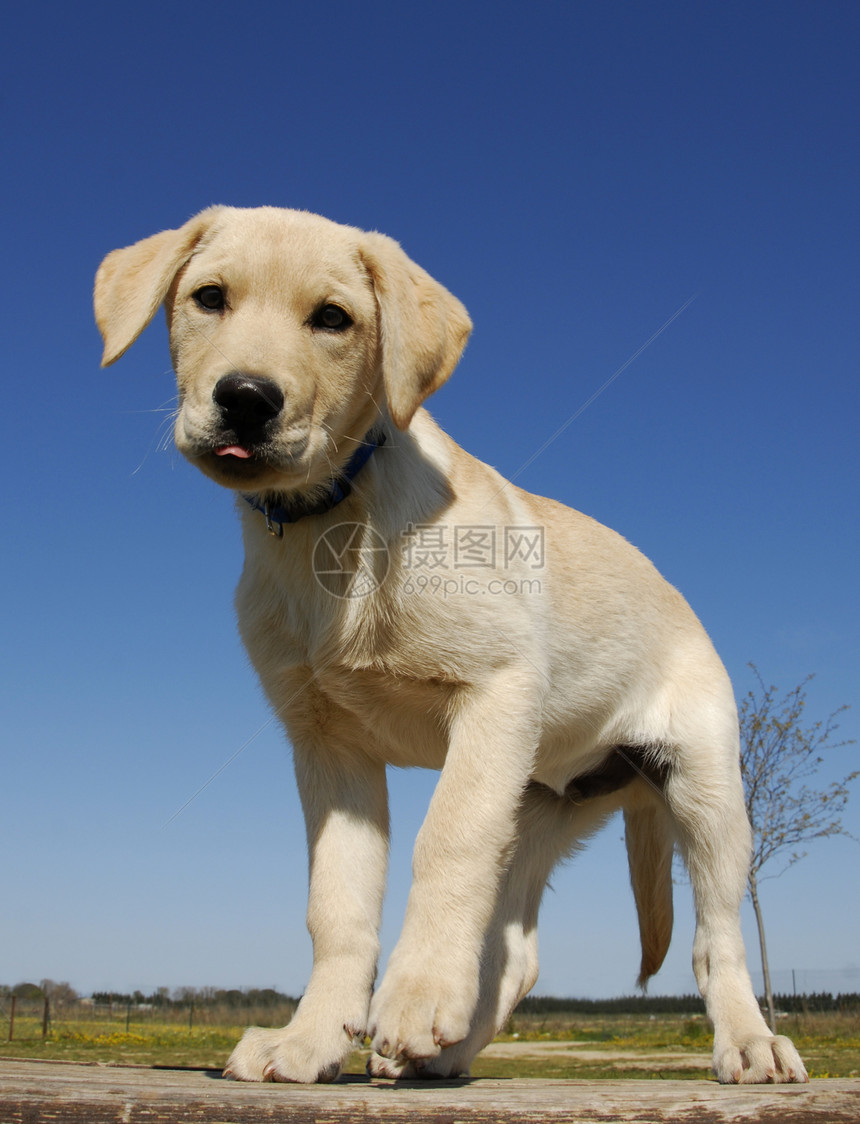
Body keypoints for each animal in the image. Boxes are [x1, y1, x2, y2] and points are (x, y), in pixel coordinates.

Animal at [93, 206, 804, 1083]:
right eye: (209, 298)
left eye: (333, 319)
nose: (247, 398)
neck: (336, 521)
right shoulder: (327, 746)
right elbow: (337, 906)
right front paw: (311, 1039)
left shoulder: (496, 694)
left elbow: (446, 843)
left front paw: (416, 995)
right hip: (535, 811)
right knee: (516, 954)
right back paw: (448, 1054)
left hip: (705, 794)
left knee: (715, 938)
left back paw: (750, 1043)